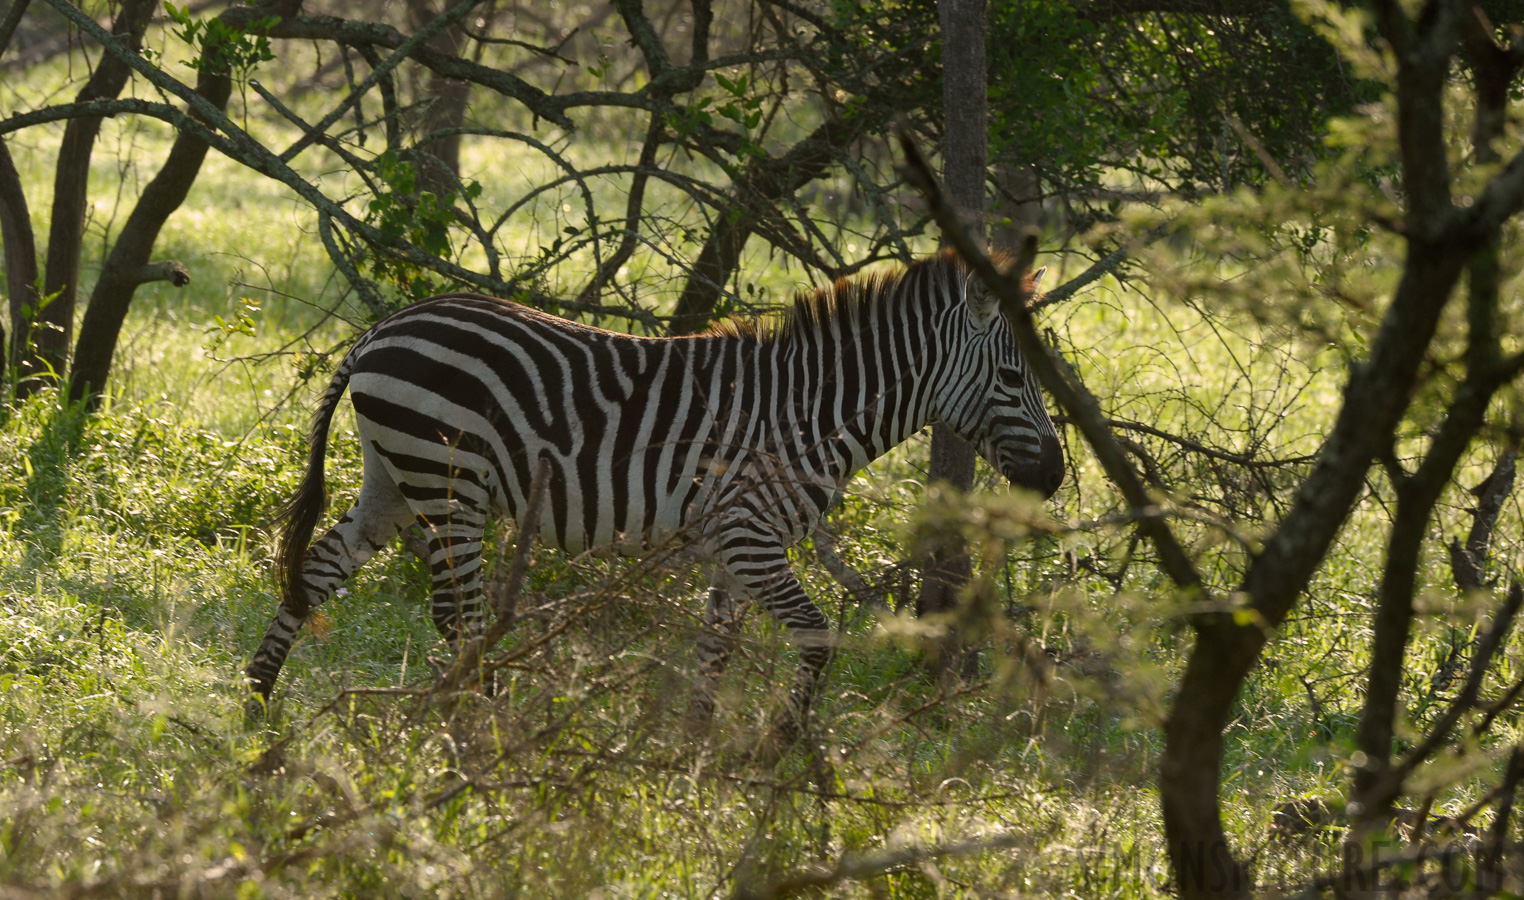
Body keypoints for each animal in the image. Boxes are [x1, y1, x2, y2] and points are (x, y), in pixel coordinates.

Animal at [246, 249, 1060, 743]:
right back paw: (490, 726)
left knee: (316, 571)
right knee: (458, 614)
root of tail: (381, 328)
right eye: (1015, 377)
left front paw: (691, 753)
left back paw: (256, 701)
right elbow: (816, 637)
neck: (811, 413)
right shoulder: (751, 535)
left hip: (395, 478)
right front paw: (779, 748)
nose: (1052, 478)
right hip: (448, 484)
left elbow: (715, 651)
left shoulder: (733, 548)